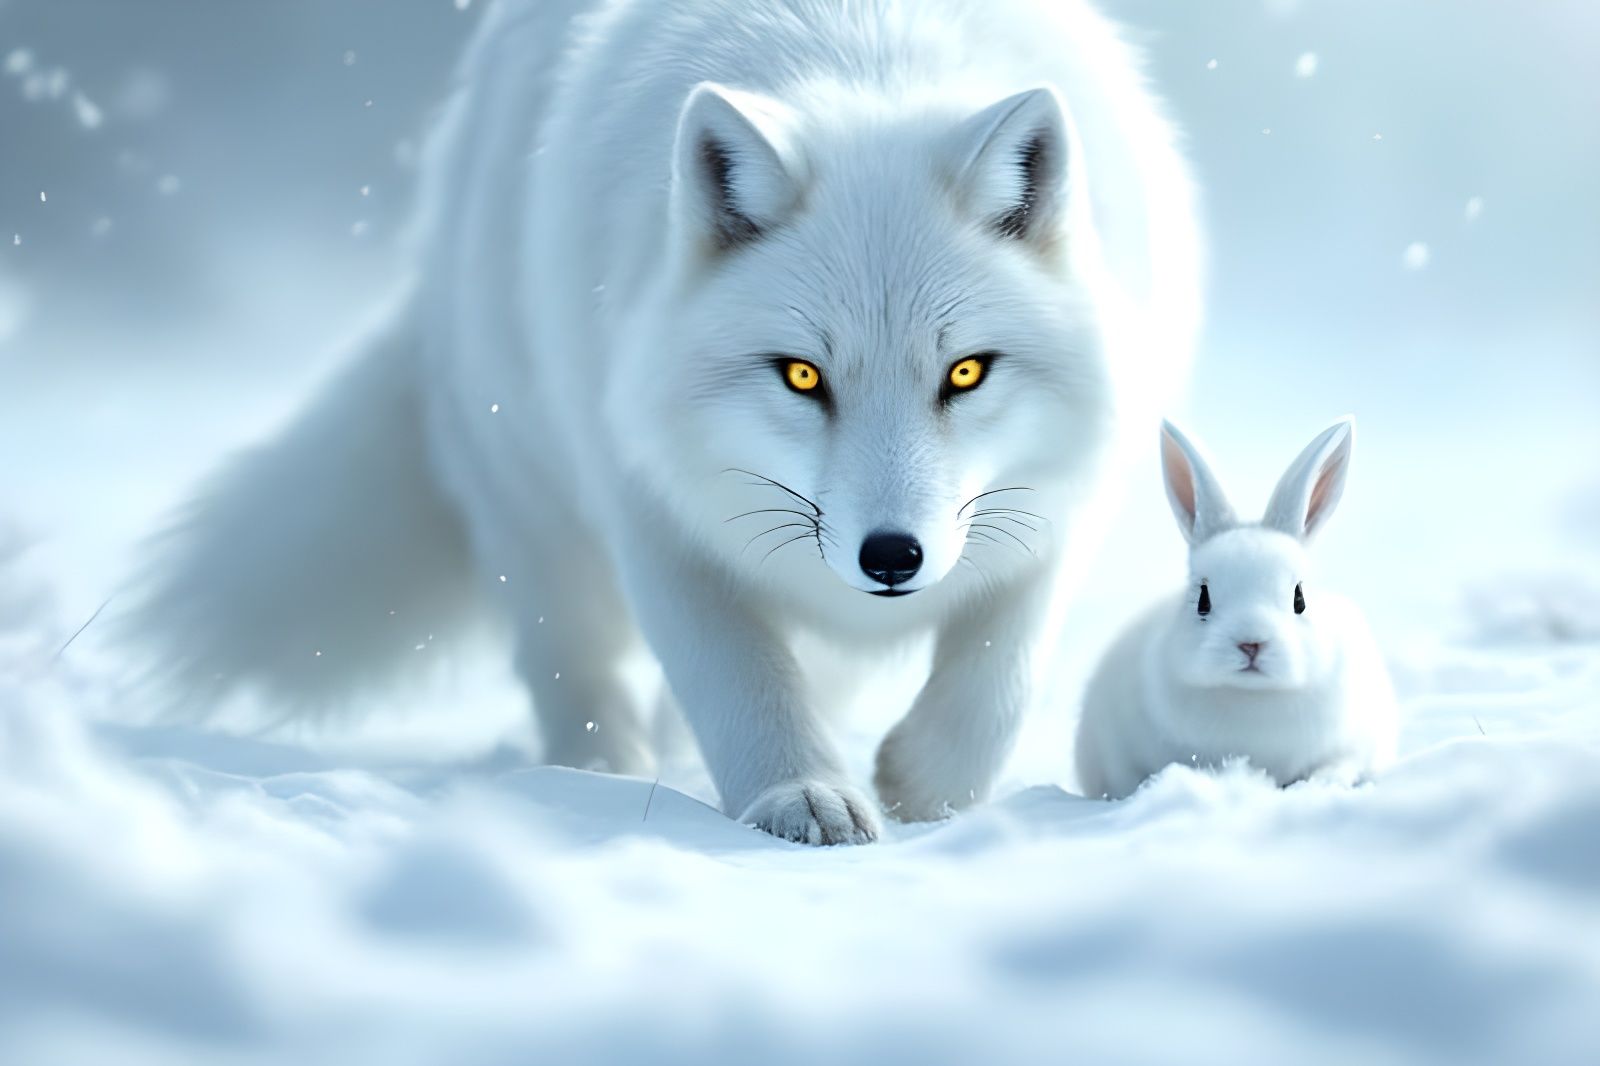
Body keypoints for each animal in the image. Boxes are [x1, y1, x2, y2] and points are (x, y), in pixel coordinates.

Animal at [130, 0, 1201, 845]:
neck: (866, 53)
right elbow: (738, 677)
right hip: (535, 503)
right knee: (576, 662)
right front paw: (800, 795)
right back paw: (595, 776)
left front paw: (926, 789)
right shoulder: (653, 506)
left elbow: (997, 675)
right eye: (803, 375)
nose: (891, 557)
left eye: (966, 372)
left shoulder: (1062, 493)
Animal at [1074, 417, 1398, 800]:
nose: (1251, 643)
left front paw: (1319, 785)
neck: (1251, 698)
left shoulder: (1355, 745)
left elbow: (1338, 766)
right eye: (1203, 598)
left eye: (1299, 599)